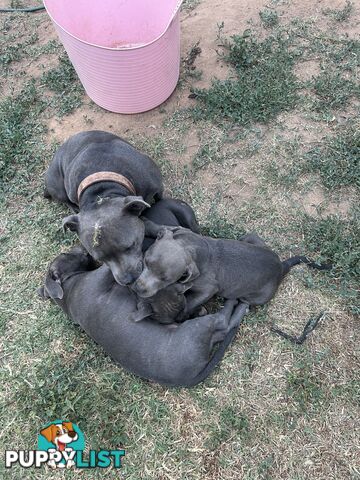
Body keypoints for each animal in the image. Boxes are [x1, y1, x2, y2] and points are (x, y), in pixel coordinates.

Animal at [38, 246, 249, 388]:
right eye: (66, 255)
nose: (81, 248)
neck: (68, 289)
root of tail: (193, 376)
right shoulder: (100, 278)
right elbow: (109, 269)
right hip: (196, 330)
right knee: (224, 322)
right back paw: (238, 303)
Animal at [43, 130, 163, 284]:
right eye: (100, 259)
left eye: (130, 246)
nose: (127, 280)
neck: (102, 191)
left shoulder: (157, 186)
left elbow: (159, 199)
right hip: (59, 187)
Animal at [133, 228, 330, 318]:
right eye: (146, 261)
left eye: (166, 279)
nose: (137, 289)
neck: (192, 248)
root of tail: (281, 267)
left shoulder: (208, 289)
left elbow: (191, 302)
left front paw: (185, 313)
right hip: (250, 237)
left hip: (256, 297)